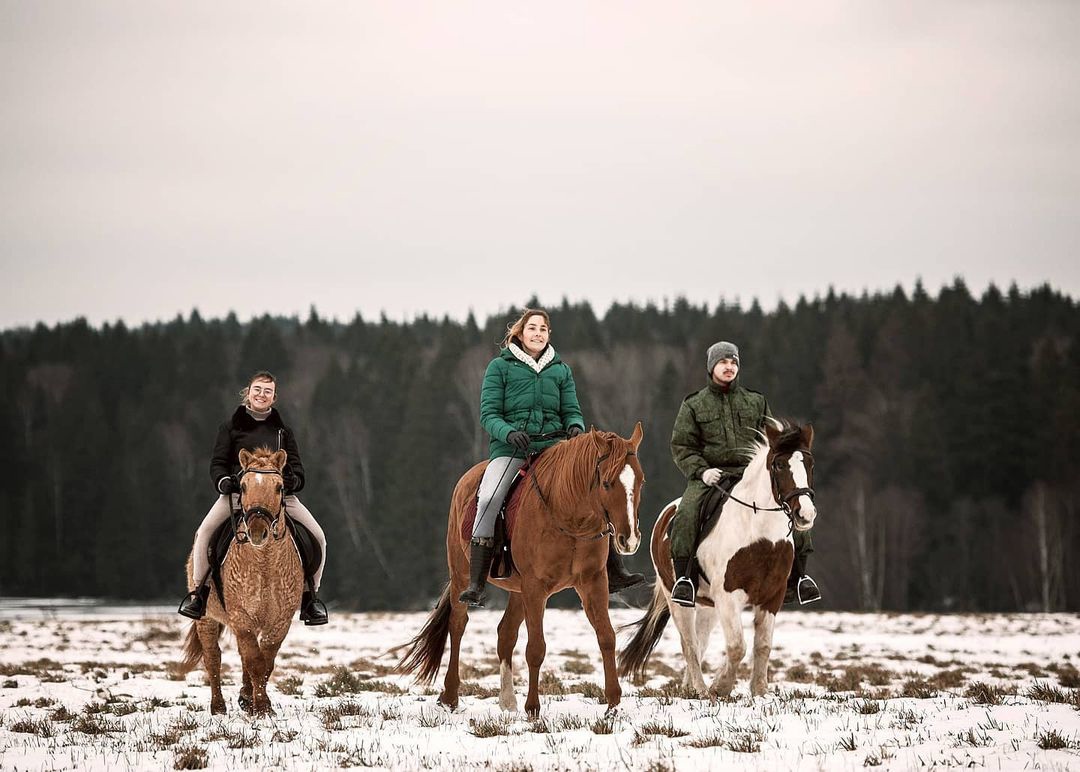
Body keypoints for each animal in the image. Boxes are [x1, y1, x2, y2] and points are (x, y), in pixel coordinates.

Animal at [178, 447, 304, 716]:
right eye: (243, 486)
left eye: (280, 487)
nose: (257, 531)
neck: (264, 563)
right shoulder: (241, 617)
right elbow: (255, 662)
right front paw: (263, 708)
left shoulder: (279, 621)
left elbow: (265, 663)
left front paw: (257, 704)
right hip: (207, 619)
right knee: (213, 657)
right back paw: (218, 707)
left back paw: (246, 698)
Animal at [401, 425, 643, 716]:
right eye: (606, 483)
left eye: (640, 482)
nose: (629, 540)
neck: (568, 516)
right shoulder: (535, 588)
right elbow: (536, 648)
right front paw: (533, 708)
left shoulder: (592, 583)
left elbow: (607, 637)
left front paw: (613, 704)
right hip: (462, 577)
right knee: (457, 626)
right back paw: (450, 696)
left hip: (518, 591)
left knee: (505, 633)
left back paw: (507, 700)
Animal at [622, 418, 812, 699]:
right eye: (779, 465)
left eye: (809, 463)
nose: (805, 514)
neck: (759, 534)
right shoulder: (728, 597)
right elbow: (737, 646)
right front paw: (720, 686)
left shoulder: (771, 597)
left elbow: (763, 645)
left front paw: (760, 692)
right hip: (678, 600)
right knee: (689, 644)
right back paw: (700, 689)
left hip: (708, 606)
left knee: (700, 642)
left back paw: (690, 687)